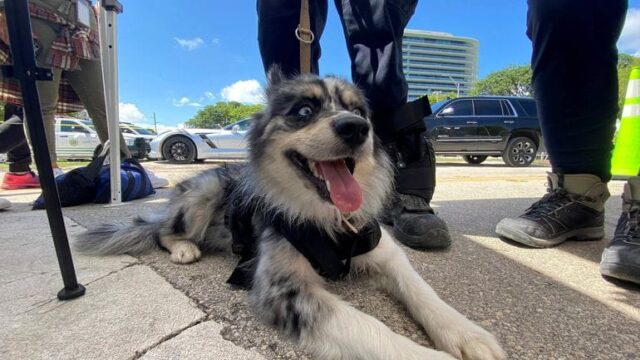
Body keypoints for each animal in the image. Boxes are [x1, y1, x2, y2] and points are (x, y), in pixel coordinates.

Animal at [76, 69, 504, 358]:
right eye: (304, 110)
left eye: (358, 111)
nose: (356, 128)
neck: (329, 219)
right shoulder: (284, 290)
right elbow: (370, 327)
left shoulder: (385, 254)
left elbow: (423, 291)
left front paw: (469, 335)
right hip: (204, 191)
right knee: (162, 231)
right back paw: (183, 247)